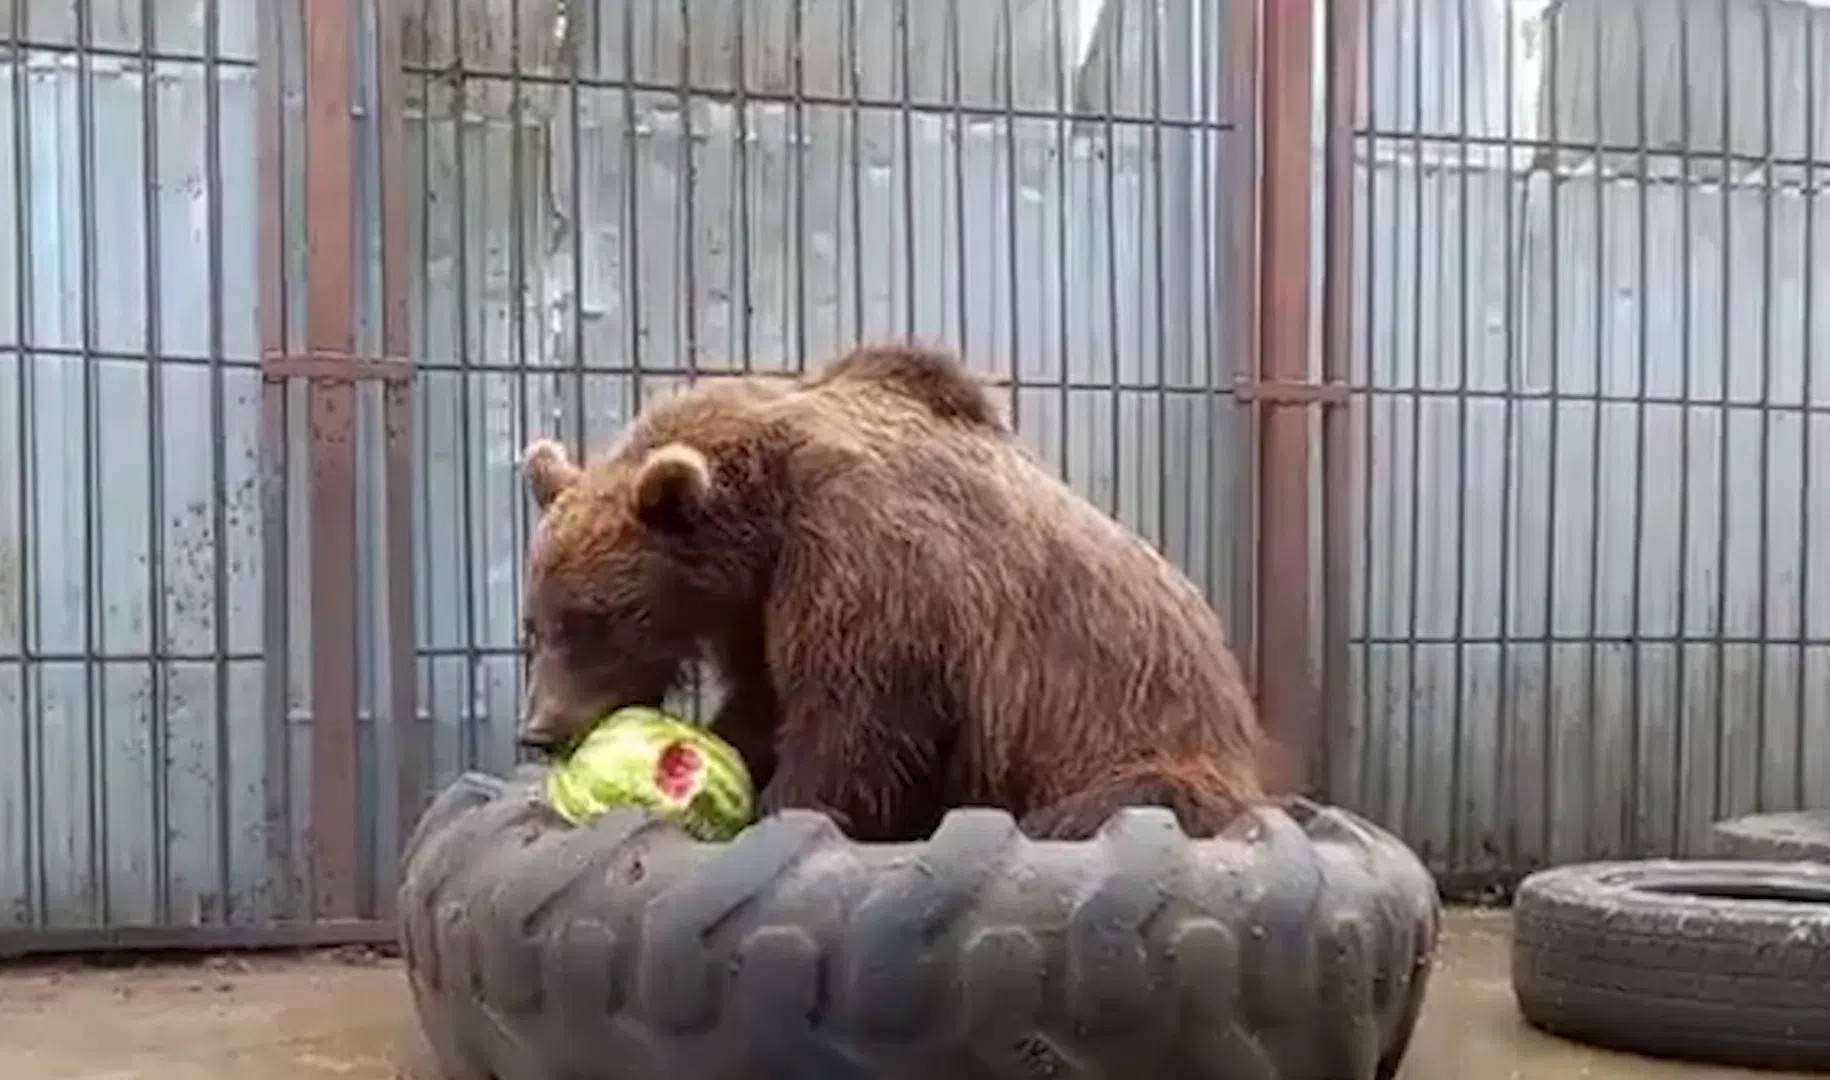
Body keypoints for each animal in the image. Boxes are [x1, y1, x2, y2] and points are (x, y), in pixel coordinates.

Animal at [508, 342, 1266, 842]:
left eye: (597, 620)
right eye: (534, 623)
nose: (539, 729)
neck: (763, 522)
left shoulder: (872, 567)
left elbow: (852, 722)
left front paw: (776, 808)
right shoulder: (765, 604)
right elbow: (765, 698)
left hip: (1143, 746)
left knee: (1112, 804)